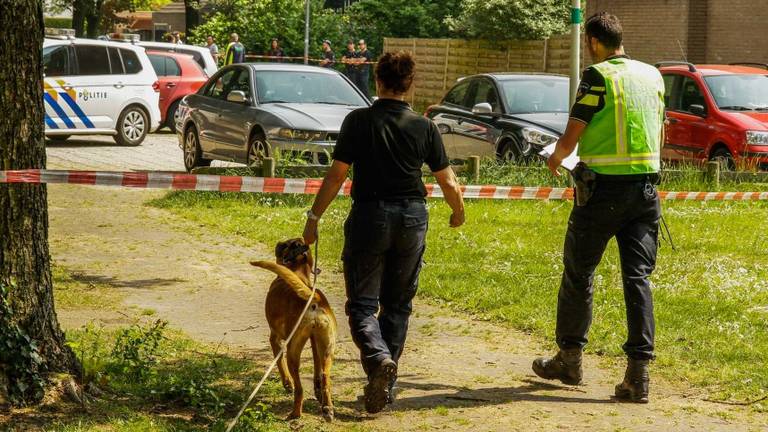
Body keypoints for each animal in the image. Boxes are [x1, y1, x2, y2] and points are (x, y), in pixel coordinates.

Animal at [252, 238, 336, 420]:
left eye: (284, 244)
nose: (278, 242)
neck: (298, 273)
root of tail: (314, 298)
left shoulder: (275, 339)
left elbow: (280, 363)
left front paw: (286, 383)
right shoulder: (314, 343)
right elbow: (317, 369)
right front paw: (318, 391)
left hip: (292, 351)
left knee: (299, 389)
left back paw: (295, 413)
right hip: (327, 348)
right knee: (325, 377)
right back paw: (327, 408)